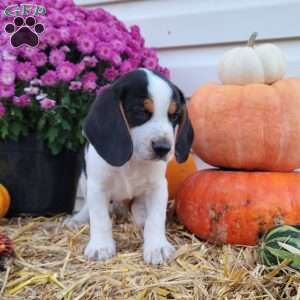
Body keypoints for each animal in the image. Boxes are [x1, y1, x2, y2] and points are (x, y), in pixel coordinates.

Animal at [66, 68, 195, 264]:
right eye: (140, 111)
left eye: (174, 116)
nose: (163, 148)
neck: (133, 159)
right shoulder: (97, 186)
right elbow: (100, 218)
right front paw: (100, 246)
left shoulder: (158, 187)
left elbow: (155, 219)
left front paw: (157, 247)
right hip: (83, 179)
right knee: (89, 205)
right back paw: (78, 219)